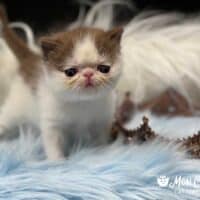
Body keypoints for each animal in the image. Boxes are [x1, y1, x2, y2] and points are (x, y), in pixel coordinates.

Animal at [0, 7, 122, 160]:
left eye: (104, 69)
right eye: (70, 72)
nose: (88, 73)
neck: (82, 102)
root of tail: (29, 59)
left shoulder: (102, 120)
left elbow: (100, 138)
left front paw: (101, 152)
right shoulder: (52, 122)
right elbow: (53, 143)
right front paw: (57, 161)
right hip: (15, 107)